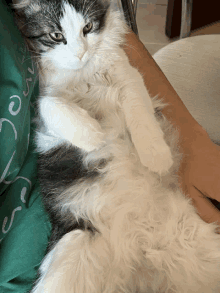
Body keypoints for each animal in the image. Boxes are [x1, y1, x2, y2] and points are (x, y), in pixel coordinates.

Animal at [12, 0, 220, 292]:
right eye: (56, 35)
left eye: (88, 27)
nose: (80, 54)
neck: (84, 72)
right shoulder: (43, 112)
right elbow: (50, 104)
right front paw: (92, 135)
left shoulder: (128, 76)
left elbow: (139, 109)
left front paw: (156, 156)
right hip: (73, 245)